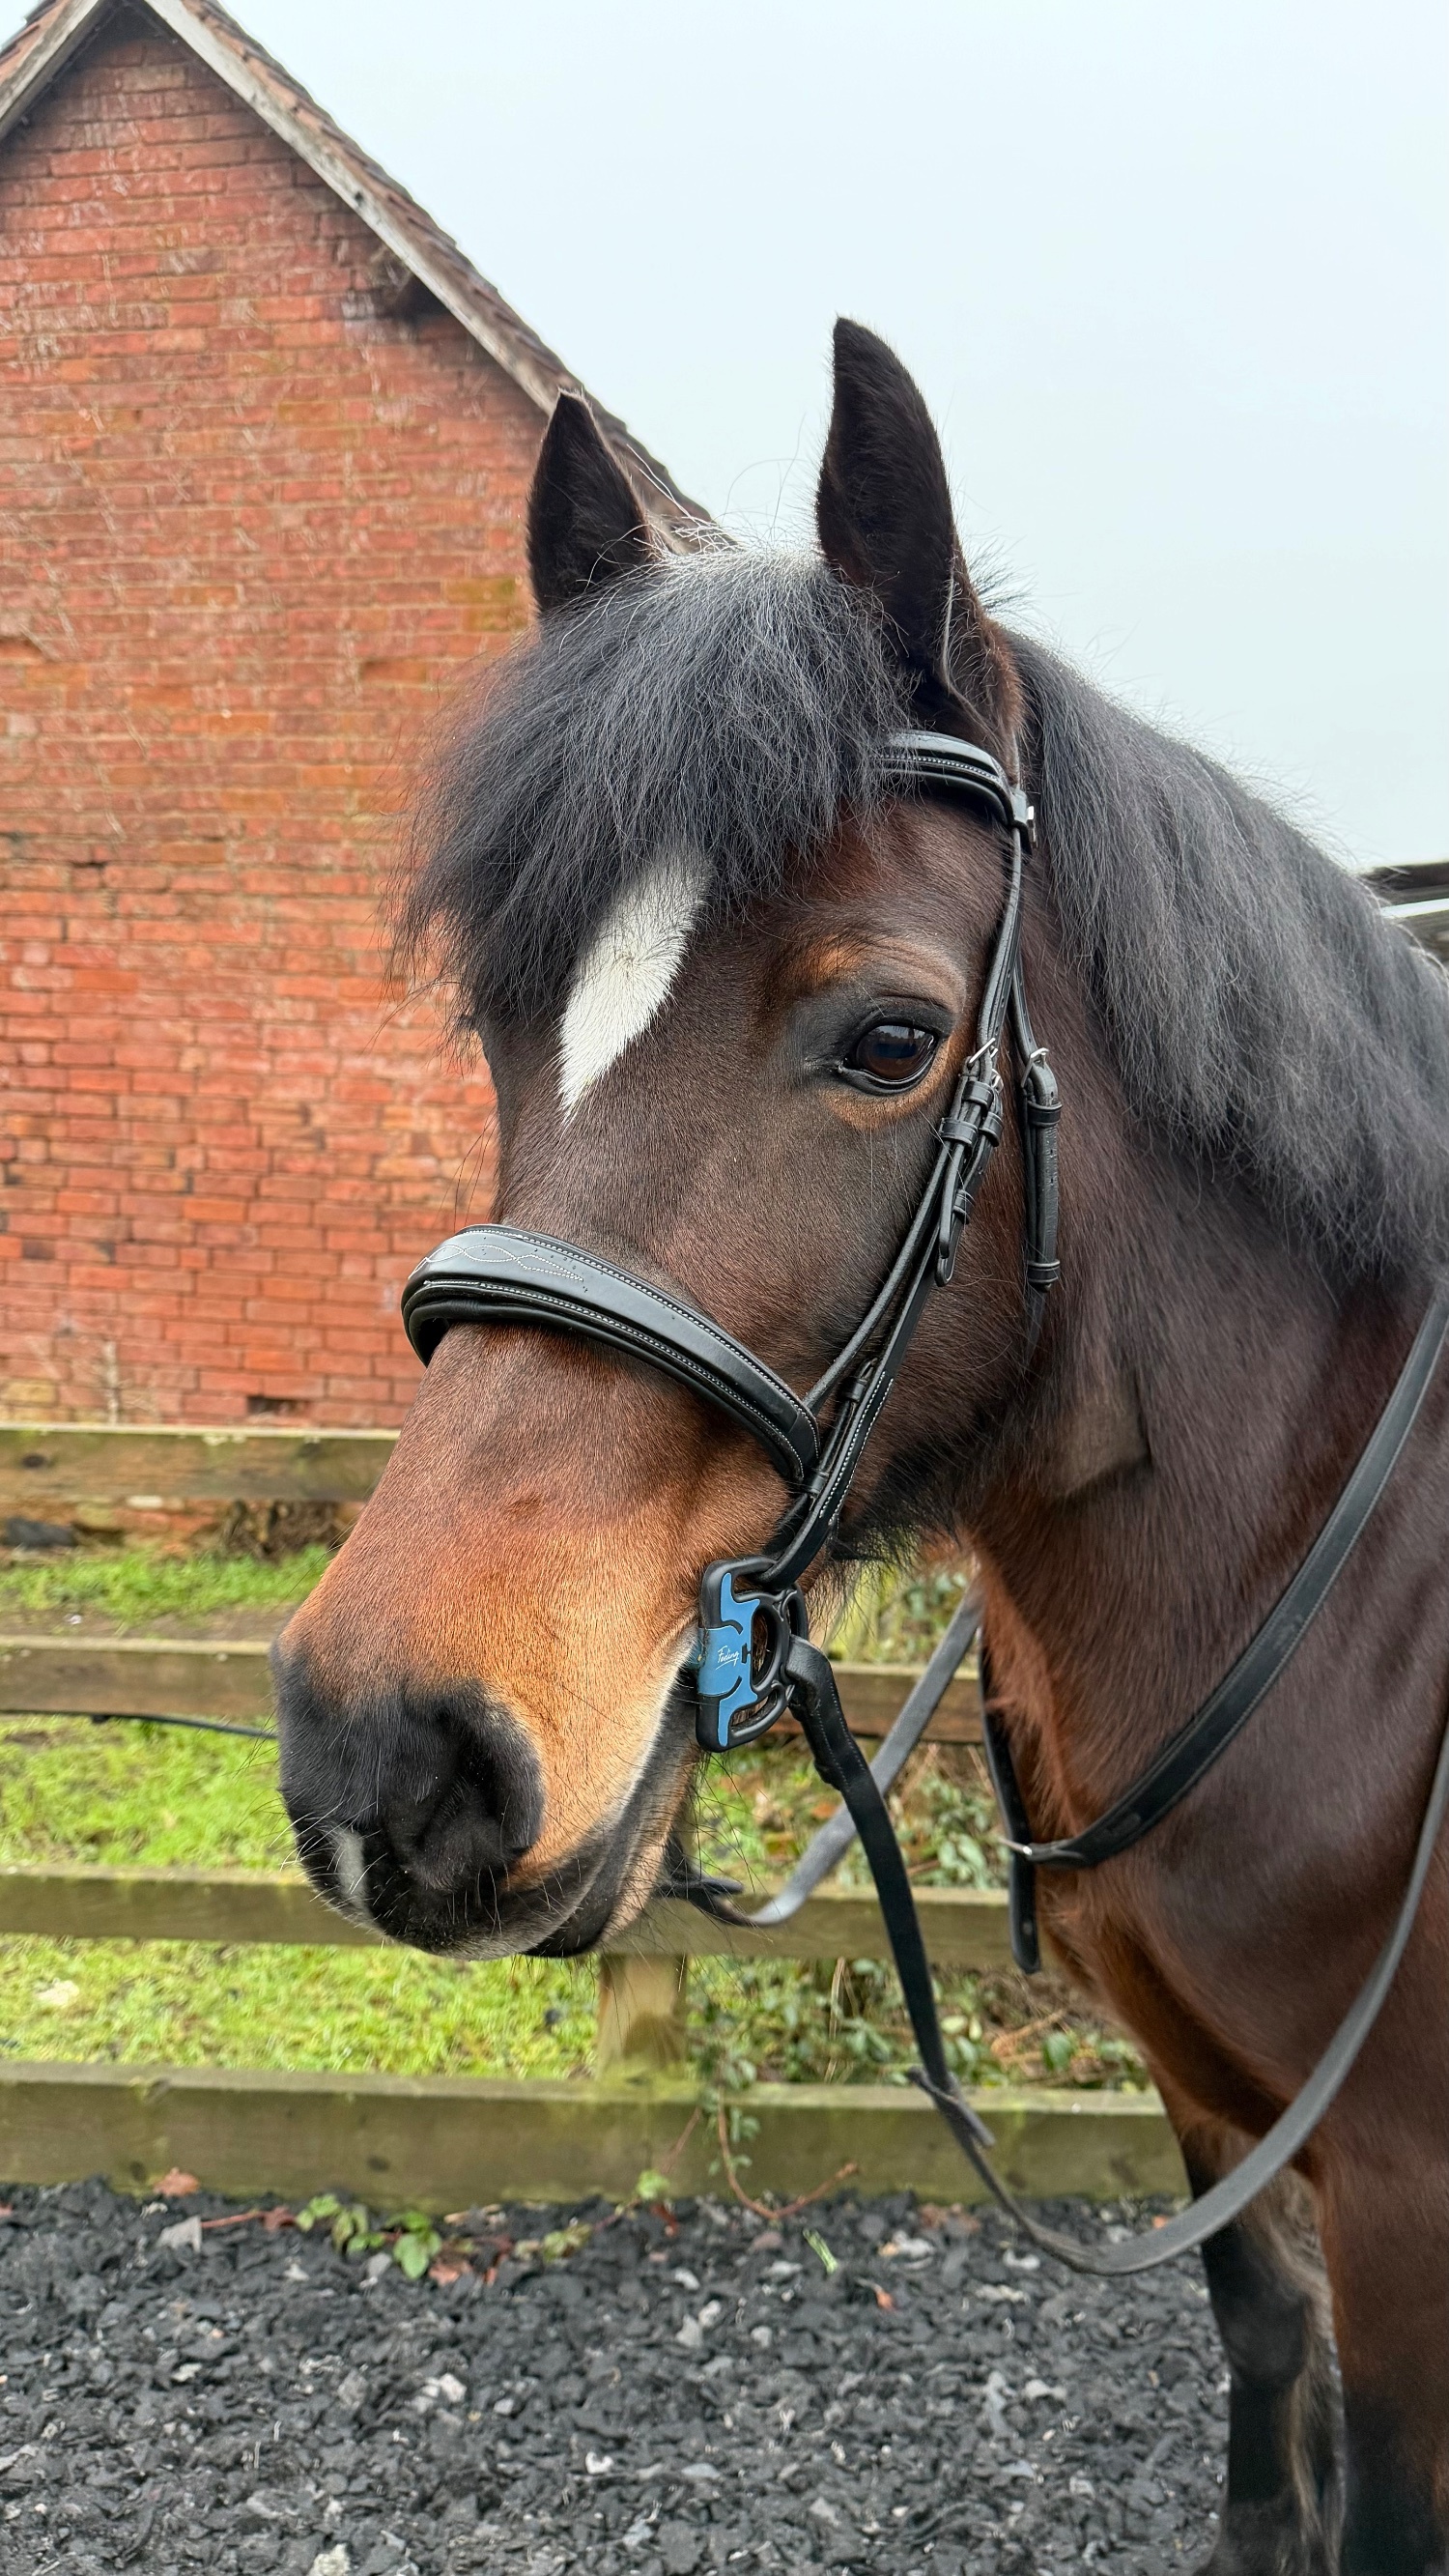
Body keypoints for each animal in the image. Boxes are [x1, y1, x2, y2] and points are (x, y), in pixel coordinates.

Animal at [273, 320, 1449, 2571]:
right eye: (499, 1022)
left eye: (891, 1039)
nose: (393, 1748)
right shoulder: (1223, 2121)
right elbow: (1270, 2378)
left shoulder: (1411, 2186)